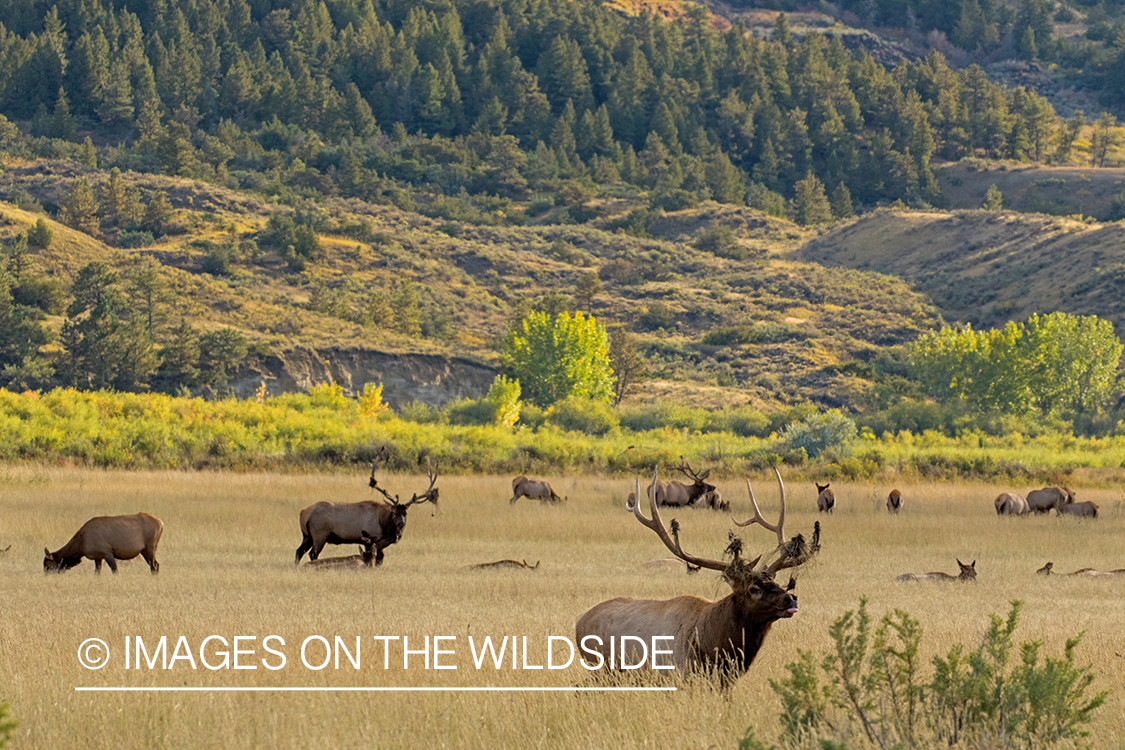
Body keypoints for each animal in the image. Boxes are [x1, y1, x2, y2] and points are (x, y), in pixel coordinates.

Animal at [292, 454, 436, 566]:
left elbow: (380, 560)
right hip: (320, 534)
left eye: (405, 513)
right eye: (394, 513)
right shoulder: (371, 539)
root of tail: (303, 513)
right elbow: (375, 559)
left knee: (299, 551)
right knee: (313, 553)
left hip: (307, 535)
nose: (401, 525)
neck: (384, 525)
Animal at [576, 465, 823, 688]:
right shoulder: (678, 676)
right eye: (754, 589)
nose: (791, 598)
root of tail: (579, 623)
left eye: (776, 582)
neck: (714, 646)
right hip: (601, 668)